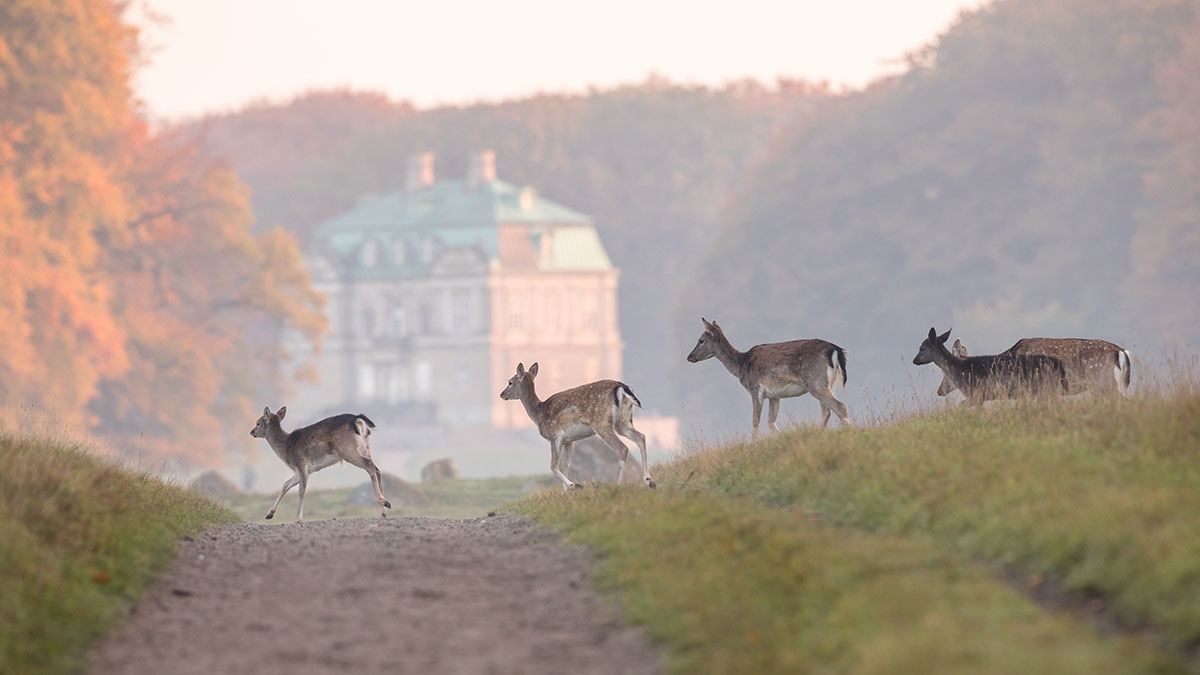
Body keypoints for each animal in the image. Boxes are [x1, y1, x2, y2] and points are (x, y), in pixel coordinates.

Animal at [250, 403, 391, 521]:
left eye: (258, 423)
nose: (251, 432)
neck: (285, 449)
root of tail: (358, 419)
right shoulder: (304, 470)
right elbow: (286, 484)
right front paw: (269, 513)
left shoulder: (302, 462)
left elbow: (302, 489)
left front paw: (298, 518)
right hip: (365, 448)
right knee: (377, 469)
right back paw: (383, 509)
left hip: (348, 451)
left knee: (370, 466)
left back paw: (384, 503)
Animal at [499, 360, 657, 492]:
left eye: (510, 382)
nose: (501, 394)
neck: (538, 413)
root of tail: (622, 388)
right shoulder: (569, 440)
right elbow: (565, 465)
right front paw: (565, 493)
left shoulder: (555, 435)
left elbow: (553, 466)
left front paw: (574, 485)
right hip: (623, 421)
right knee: (641, 437)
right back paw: (649, 481)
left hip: (601, 422)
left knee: (622, 448)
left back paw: (618, 485)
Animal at [686, 314, 854, 437]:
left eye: (701, 340)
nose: (689, 357)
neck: (741, 365)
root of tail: (836, 349)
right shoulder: (775, 395)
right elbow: (770, 422)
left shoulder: (755, 388)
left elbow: (755, 422)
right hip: (827, 383)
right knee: (826, 411)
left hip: (815, 382)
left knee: (839, 406)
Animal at [912, 326, 1075, 403]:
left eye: (922, 348)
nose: (914, 360)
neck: (960, 369)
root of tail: (1059, 365)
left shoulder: (977, 393)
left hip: (1045, 387)